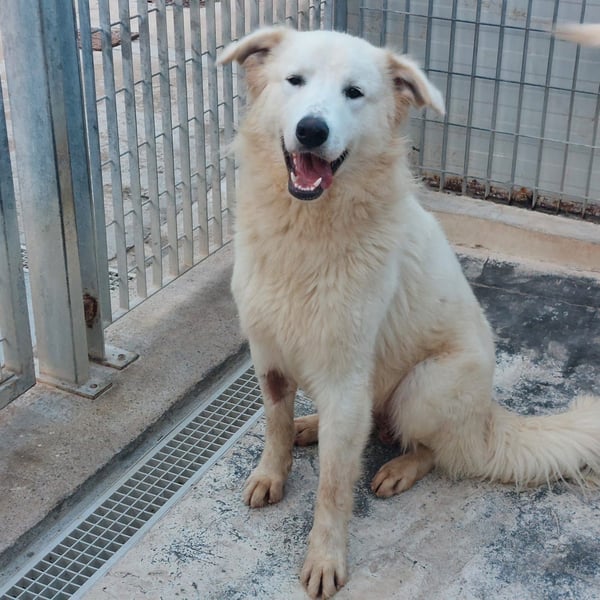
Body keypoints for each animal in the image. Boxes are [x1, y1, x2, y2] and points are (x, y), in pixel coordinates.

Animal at [219, 27, 600, 599]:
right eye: (295, 81)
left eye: (354, 93)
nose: (311, 130)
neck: (306, 229)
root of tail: (487, 419)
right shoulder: (269, 358)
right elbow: (275, 425)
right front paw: (272, 473)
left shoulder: (346, 377)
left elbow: (334, 486)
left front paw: (326, 557)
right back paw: (314, 426)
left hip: (423, 388)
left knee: (435, 450)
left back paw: (400, 467)